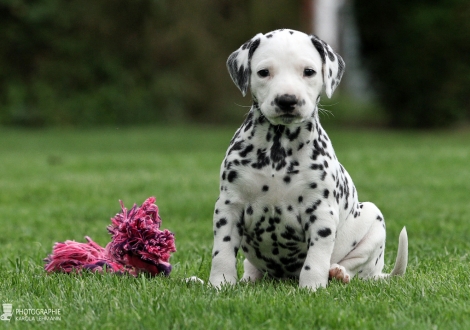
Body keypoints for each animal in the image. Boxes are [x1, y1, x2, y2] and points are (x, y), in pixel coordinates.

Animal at [209, 29, 408, 290]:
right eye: (263, 72)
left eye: (309, 71)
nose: (287, 100)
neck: (278, 150)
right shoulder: (229, 207)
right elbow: (222, 251)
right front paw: (219, 283)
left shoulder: (321, 212)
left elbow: (317, 257)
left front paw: (312, 287)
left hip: (373, 222)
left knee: (355, 266)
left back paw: (338, 273)